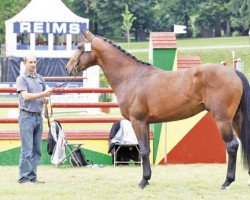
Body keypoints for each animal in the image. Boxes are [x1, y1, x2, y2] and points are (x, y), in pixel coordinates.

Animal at [65, 30, 250, 189]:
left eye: (80, 47)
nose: (68, 68)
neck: (131, 76)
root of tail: (233, 72)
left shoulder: (138, 121)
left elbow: (143, 150)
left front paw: (143, 181)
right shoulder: (146, 123)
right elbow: (146, 149)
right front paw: (147, 179)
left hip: (223, 120)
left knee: (232, 145)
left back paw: (227, 182)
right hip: (236, 120)